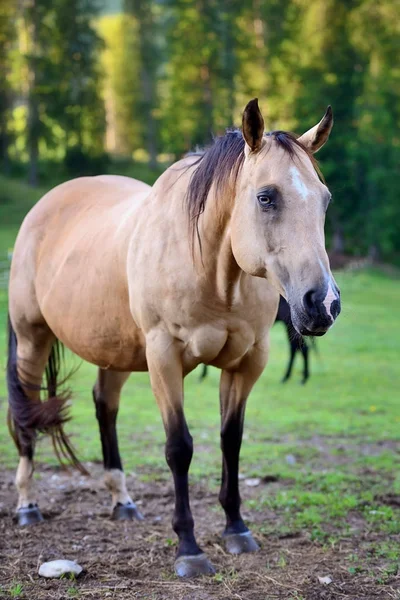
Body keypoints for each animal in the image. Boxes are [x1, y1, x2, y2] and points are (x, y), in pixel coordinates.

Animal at [6, 98, 340, 576]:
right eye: (266, 197)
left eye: (324, 199)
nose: (323, 303)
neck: (212, 268)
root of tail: (43, 207)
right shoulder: (164, 358)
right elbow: (179, 447)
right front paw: (189, 548)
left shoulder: (247, 361)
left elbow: (231, 440)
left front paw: (236, 528)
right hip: (33, 338)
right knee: (27, 412)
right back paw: (27, 505)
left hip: (114, 351)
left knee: (104, 407)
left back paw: (122, 500)